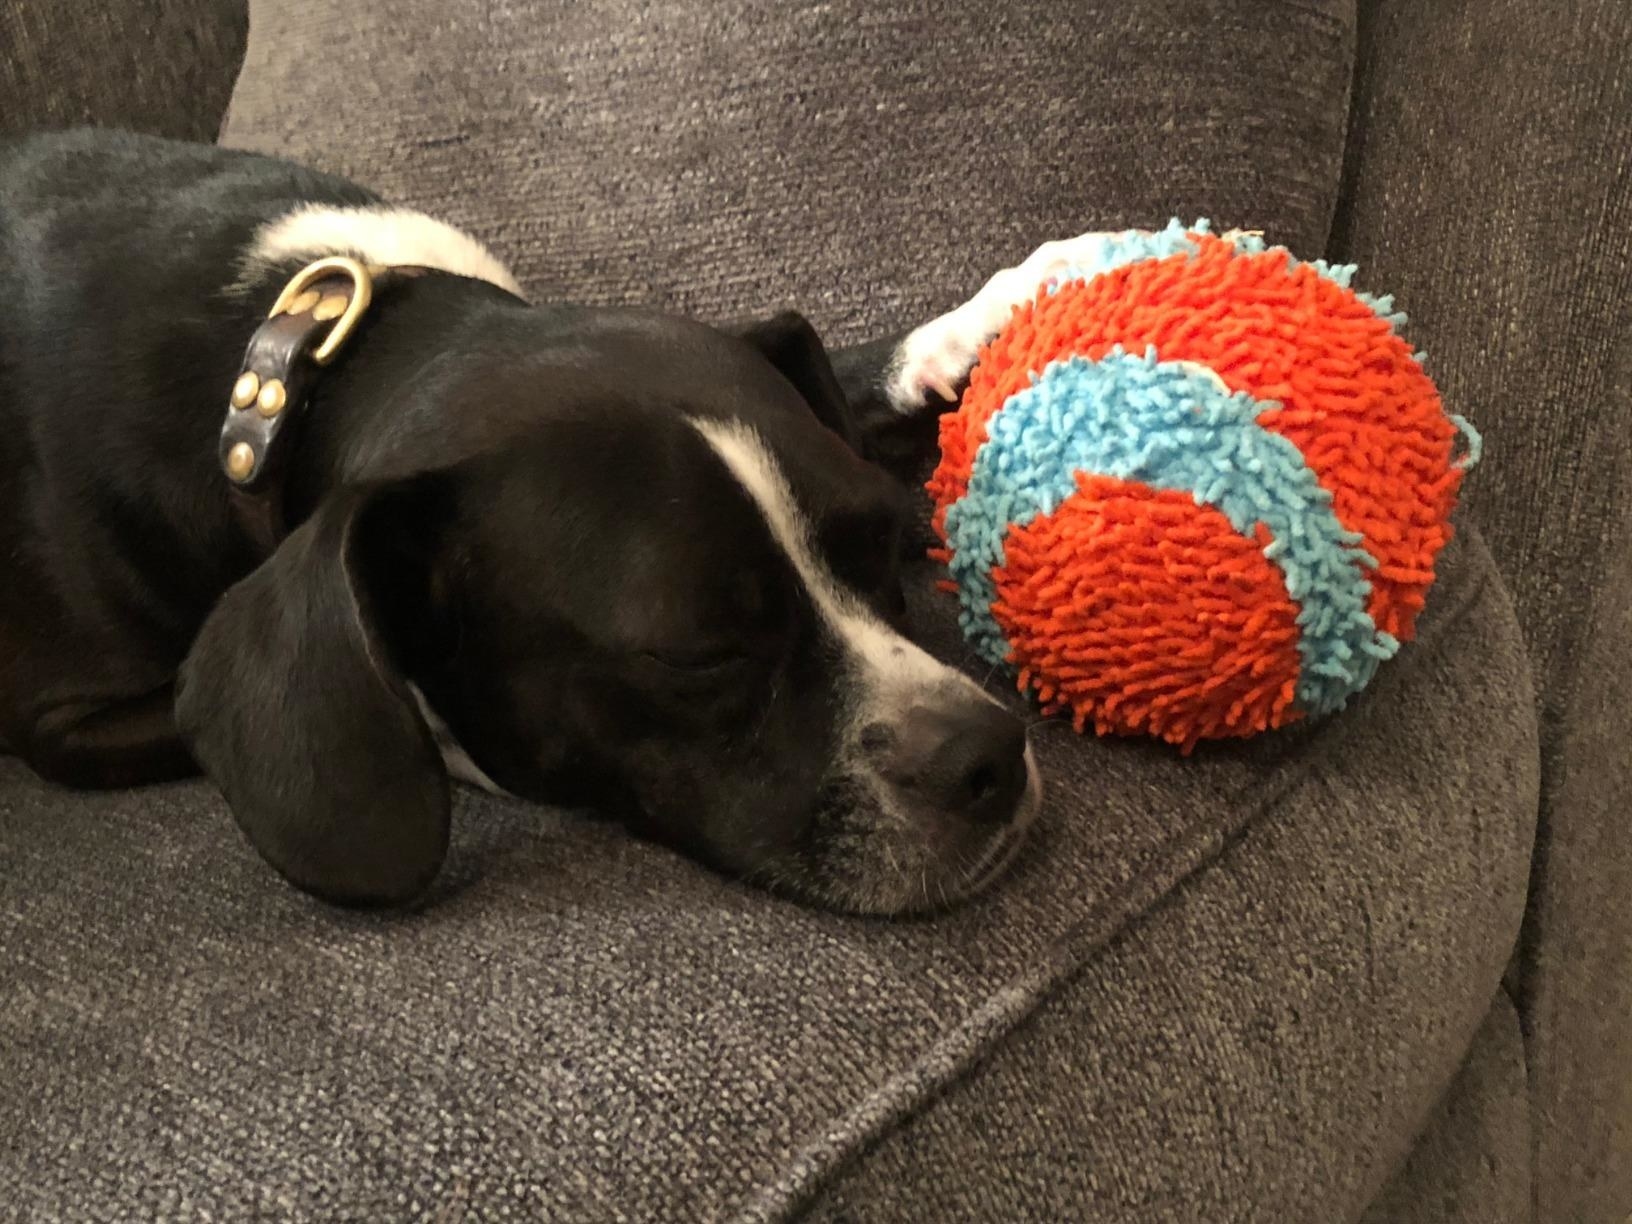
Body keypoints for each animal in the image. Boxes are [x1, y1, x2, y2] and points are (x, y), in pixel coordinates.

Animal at [0, 133, 1044, 913]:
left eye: (880, 542)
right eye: (698, 654)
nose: (986, 756)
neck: (306, 364)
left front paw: (989, 318)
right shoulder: (64, 726)